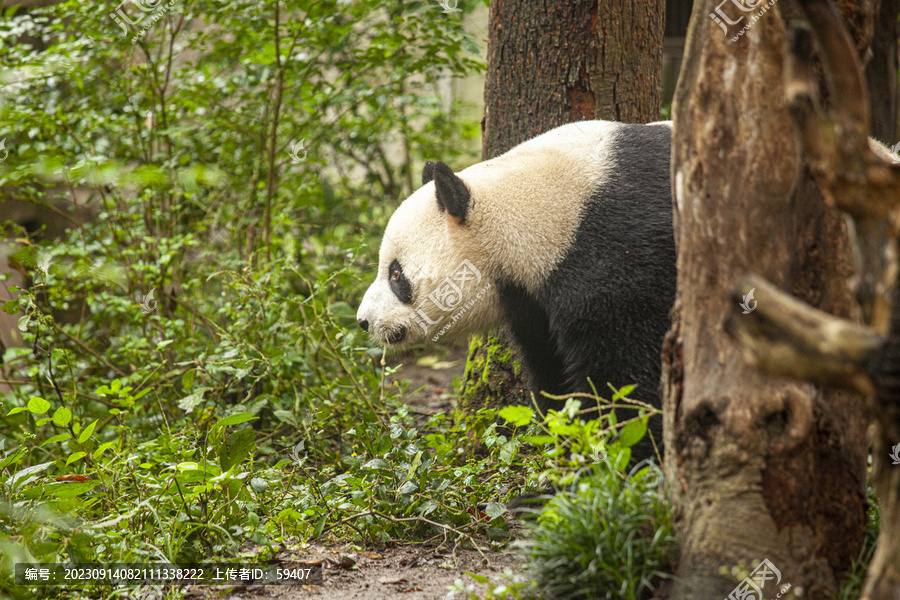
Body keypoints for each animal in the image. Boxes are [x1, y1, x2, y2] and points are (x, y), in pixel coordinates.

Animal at [356, 119, 672, 462]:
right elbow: (547, 364)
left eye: (396, 274)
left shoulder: (618, 255)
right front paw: (563, 438)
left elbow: (626, 373)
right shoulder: (531, 298)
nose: (364, 321)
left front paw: (624, 455)